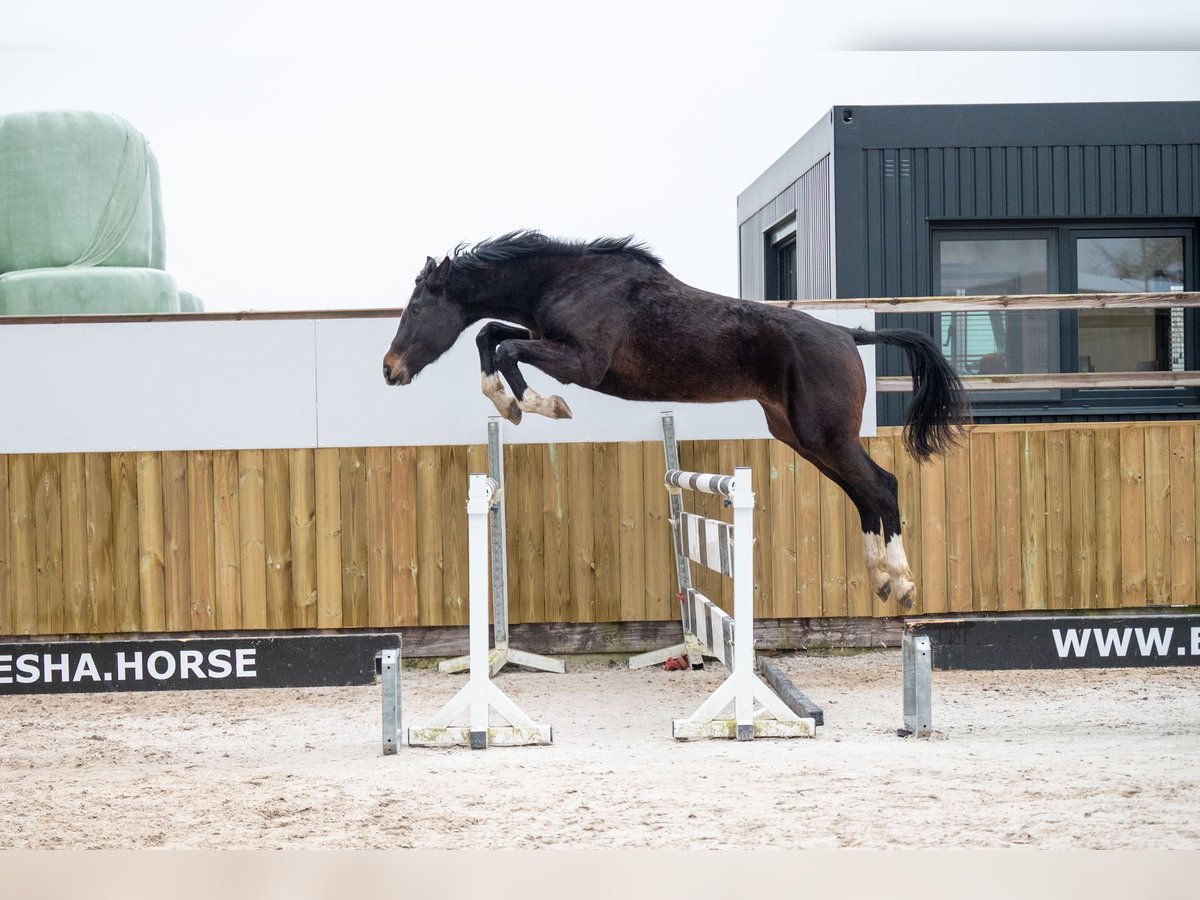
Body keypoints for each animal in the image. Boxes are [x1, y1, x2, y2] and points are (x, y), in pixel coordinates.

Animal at [384, 232, 964, 614]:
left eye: (416, 309)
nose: (389, 370)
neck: (566, 282)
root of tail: (847, 334)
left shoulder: (581, 364)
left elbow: (504, 346)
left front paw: (539, 405)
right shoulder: (546, 339)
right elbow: (492, 336)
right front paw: (510, 405)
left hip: (825, 435)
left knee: (882, 487)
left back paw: (903, 584)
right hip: (803, 438)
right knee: (864, 495)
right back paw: (882, 581)